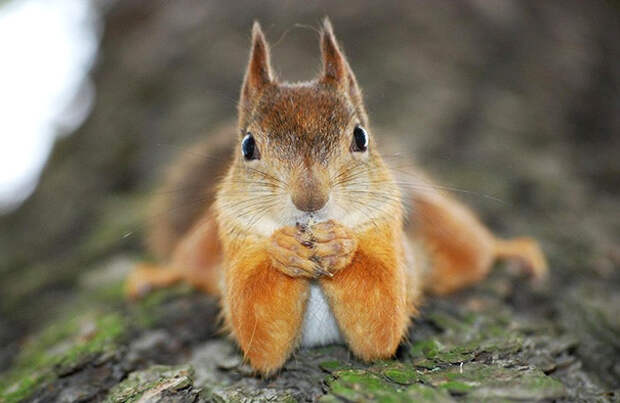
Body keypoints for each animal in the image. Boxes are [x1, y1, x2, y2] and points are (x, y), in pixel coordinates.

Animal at [126, 19, 548, 378]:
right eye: (247, 146)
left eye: (360, 137)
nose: (310, 199)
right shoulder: (236, 238)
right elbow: (259, 332)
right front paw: (283, 249)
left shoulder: (390, 237)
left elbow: (382, 319)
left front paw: (339, 245)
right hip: (204, 244)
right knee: (188, 263)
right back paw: (157, 275)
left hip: (442, 226)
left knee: (475, 251)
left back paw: (513, 250)